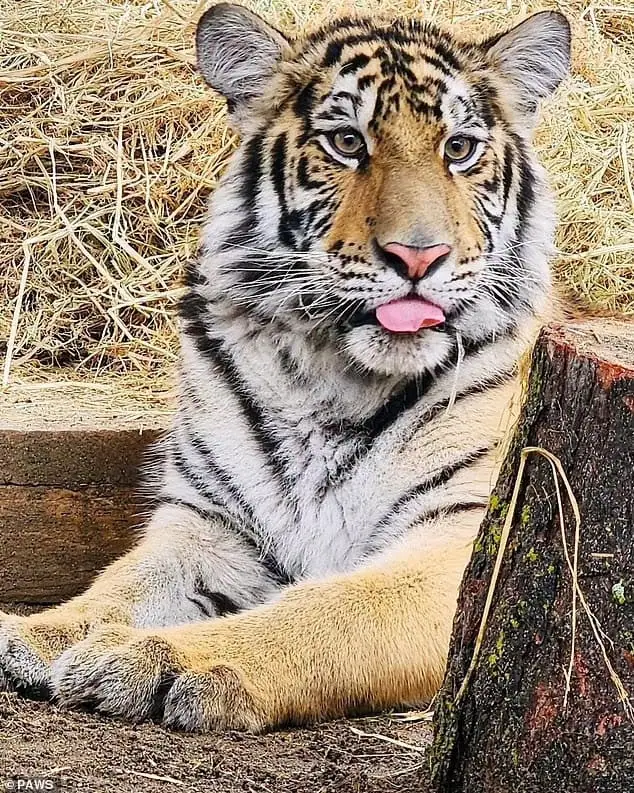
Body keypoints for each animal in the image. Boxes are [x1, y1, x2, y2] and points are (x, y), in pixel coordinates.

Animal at [0, 3, 570, 732]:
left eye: (459, 149)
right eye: (347, 143)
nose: (419, 256)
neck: (329, 375)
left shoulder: (459, 544)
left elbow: (330, 610)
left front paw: (153, 657)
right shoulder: (211, 526)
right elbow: (122, 581)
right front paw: (36, 634)